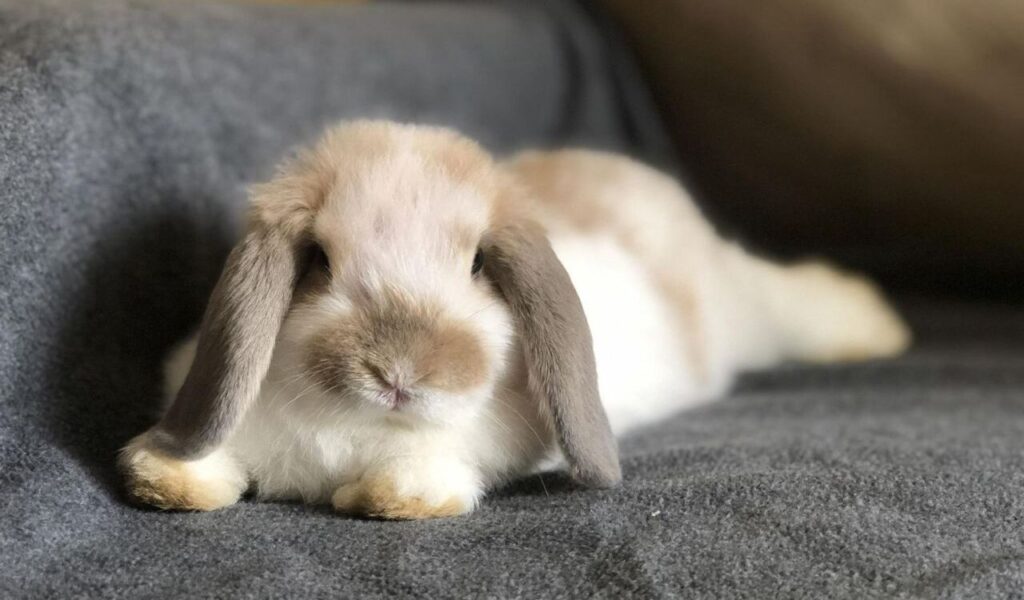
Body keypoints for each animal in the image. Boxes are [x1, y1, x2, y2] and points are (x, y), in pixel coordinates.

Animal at [119, 120, 910, 519]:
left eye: (478, 263)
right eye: (317, 259)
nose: (398, 373)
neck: (351, 423)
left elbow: (421, 475)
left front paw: (386, 497)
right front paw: (167, 478)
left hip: (746, 313)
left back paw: (875, 325)